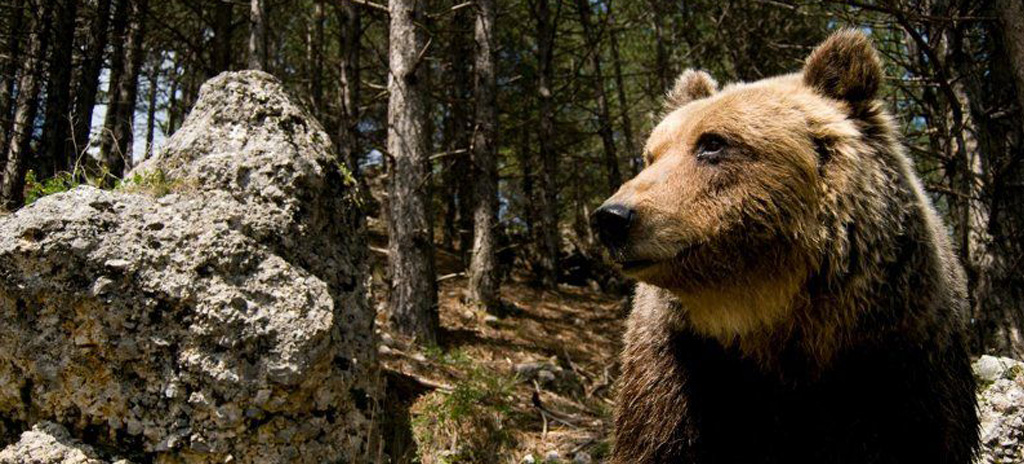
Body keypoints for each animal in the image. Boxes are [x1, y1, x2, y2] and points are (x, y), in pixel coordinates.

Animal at [593, 29, 983, 462]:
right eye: (652, 154)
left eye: (712, 143)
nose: (612, 218)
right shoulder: (683, 365)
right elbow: (657, 438)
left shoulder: (902, 355)